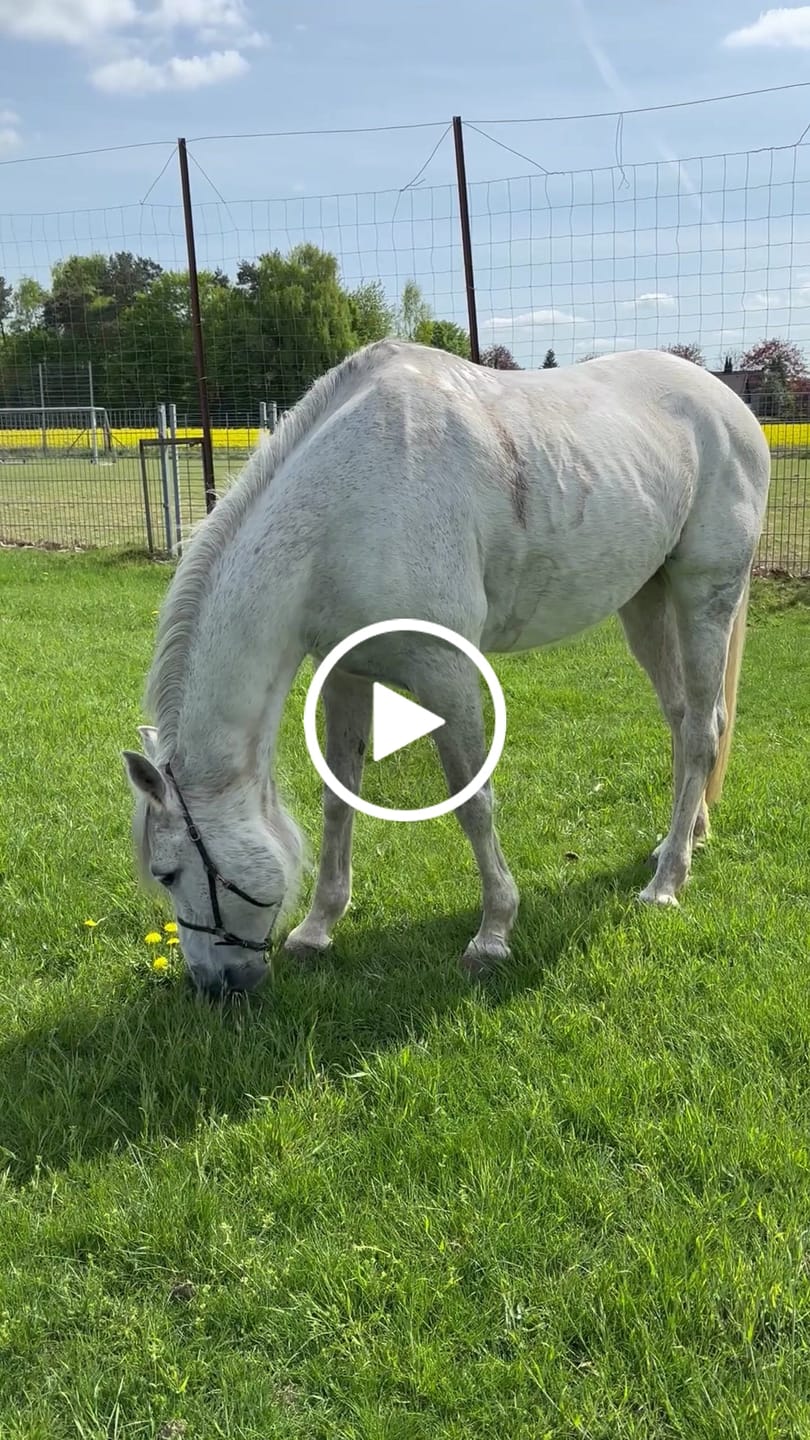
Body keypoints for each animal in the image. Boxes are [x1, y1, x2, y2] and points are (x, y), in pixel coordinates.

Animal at [122, 341, 771, 998]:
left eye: (168, 872)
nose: (214, 985)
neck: (344, 510)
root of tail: (728, 407)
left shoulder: (447, 673)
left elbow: (472, 800)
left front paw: (493, 934)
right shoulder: (345, 676)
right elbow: (339, 798)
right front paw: (317, 928)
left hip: (705, 595)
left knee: (700, 732)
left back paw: (666, 883)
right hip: (646, 603)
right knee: (686, 718)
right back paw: (684, 837)